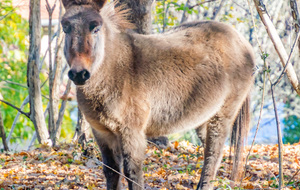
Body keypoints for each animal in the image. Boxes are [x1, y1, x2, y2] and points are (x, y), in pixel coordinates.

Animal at [61, 0, 255, 189]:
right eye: (65, 28)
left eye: (96, 29)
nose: (78, 74)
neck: (113, 70)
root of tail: (240, 39)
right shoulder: (102, 132)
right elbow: (111, 172)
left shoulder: (131, 132)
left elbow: (132, 175)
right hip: (203, 117)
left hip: (223, 114)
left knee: (214, 154)